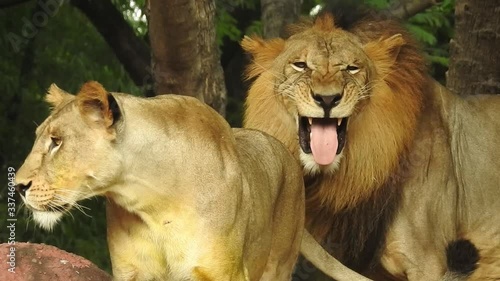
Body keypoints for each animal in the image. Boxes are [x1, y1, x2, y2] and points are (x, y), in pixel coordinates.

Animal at [15, 81, 370, 280]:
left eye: (56, 142)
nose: (17, 186)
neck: (152, 202)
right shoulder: (132, 272)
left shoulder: (224, 272)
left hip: (278, 263)